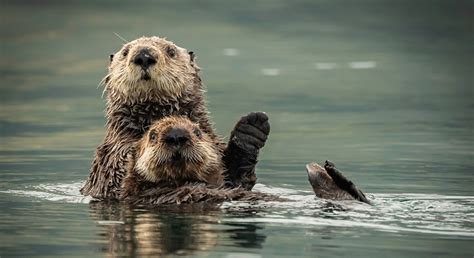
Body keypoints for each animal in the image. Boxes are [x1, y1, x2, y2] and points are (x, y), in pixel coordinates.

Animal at [81, 36, 270, 200]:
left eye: (171, 51)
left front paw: (251, 128)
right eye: (125, 52)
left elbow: (237, 179)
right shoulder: (112, 157)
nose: (143, 56)